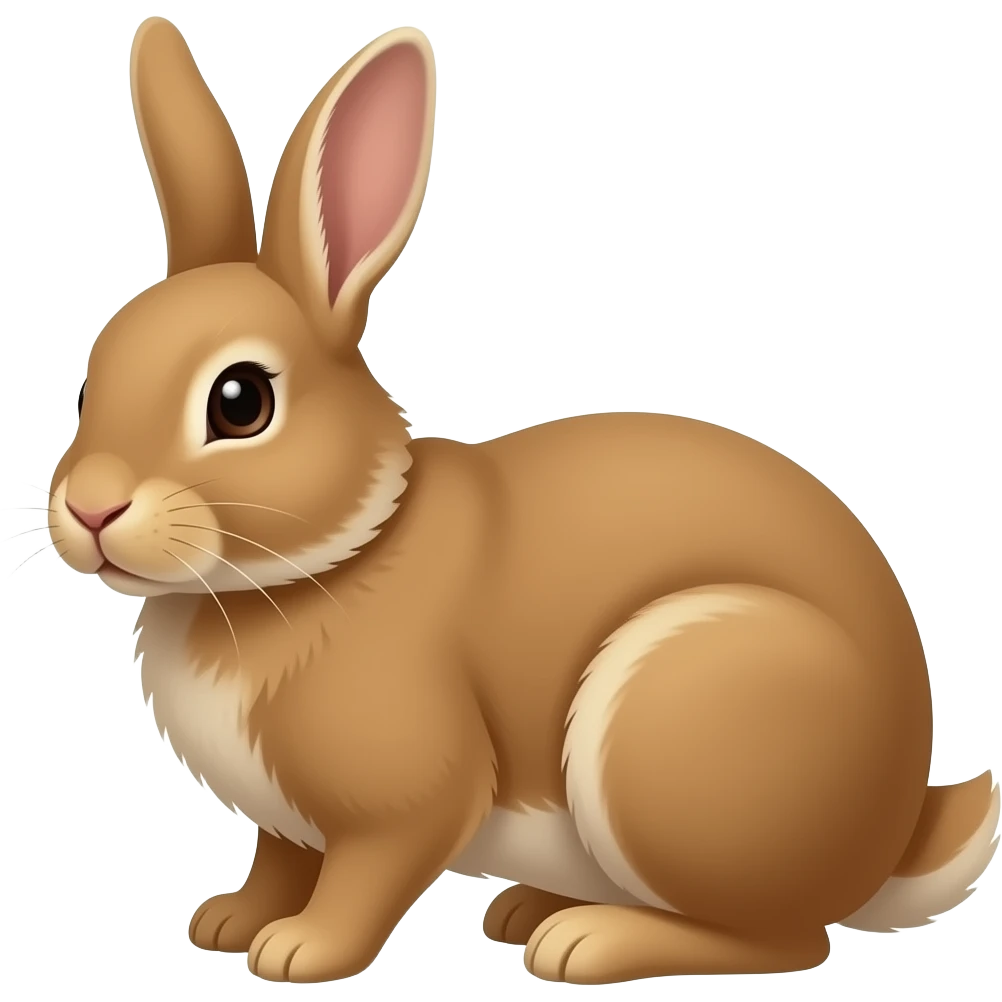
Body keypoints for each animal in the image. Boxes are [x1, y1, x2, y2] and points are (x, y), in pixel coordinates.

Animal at [46, 16, 999, 986]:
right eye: (92, 379)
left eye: (241, 403)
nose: (89, 510)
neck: (325, 559)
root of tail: (893, 835)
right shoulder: (286, 823)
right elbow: (279, 859)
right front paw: (230, 921)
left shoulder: (409, 795)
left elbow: (368, 873)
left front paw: (300, 950)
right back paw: (529, 909)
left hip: (676, 726)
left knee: (786, 939)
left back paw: (585, 941)